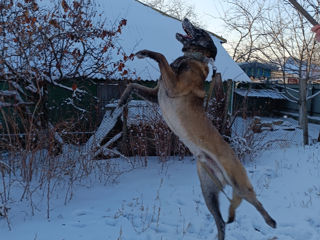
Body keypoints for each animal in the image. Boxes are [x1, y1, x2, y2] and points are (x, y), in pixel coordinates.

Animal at [117, 18, 276, 240]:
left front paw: (144, 52)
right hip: (208, 191)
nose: (185, 19)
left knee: (256, 201)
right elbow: (132, 84)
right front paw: (122, 100)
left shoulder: (173, 86)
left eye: (200, 30)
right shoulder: (157, 94)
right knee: (221, 222)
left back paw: (271, 221)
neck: (192, 58)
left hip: (240, 183)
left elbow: (160, 55)